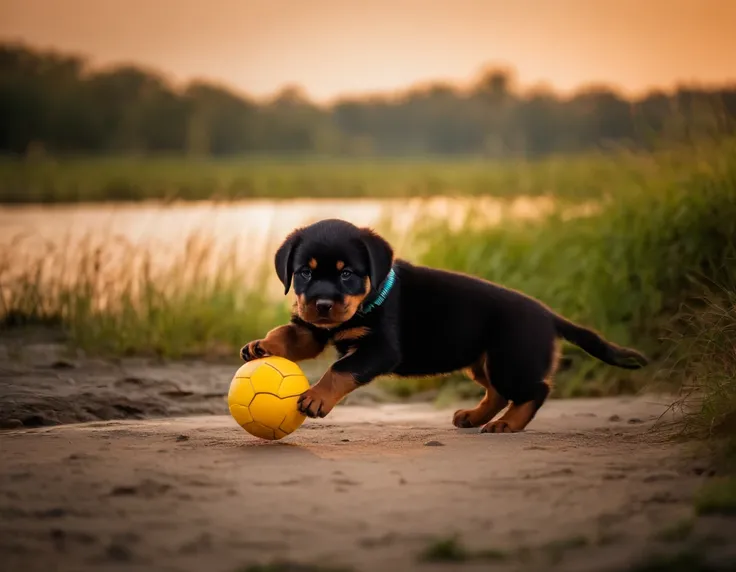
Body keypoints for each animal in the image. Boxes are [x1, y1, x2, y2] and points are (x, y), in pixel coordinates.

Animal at [239, 219, 648, 434]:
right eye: (305, 273)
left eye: (348, 275)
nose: (322, 304)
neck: (368, 300)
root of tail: (549, 315)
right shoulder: (315, 329)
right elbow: (289, 334)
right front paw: (262, 345)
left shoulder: (380, 349)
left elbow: (339, 370)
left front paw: (315, 397)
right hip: (480, 361)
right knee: (497, 392)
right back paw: (475, 417)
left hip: (510, 361)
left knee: (535, 389)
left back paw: (508, 424)